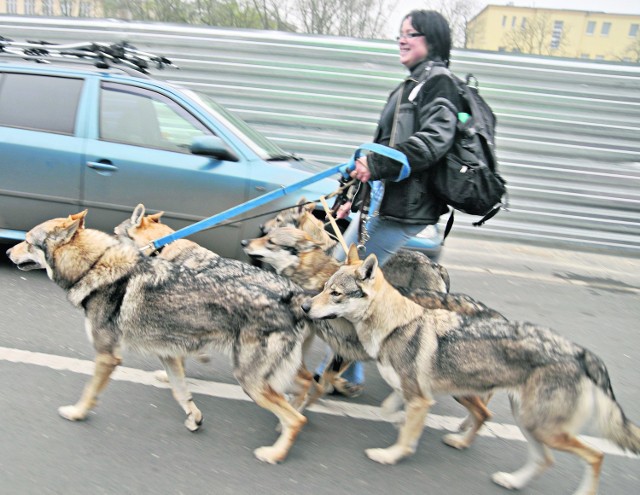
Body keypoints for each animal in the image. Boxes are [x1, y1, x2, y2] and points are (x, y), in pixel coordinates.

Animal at [8, 212, 320, 464]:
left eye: (27, 241)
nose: (9, 250)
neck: (94, 266)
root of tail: (293, 297)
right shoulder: (168, 354)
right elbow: (180, 392)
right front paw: (194, 418)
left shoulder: (108, 356)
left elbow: (89, 392)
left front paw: (77, 413)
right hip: (272, 375)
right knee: (307, 386)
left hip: (252, 381)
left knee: (298, 419)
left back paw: (275, 453)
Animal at [302, 246, 640, 494]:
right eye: (324, 288)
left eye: (335, 294)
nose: (305, 307)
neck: (394, 324)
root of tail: (580, 352)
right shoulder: (413, 393)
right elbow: (392, 409)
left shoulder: (420, 397)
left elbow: (403, 433)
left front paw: (391, 454)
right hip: (526, 420)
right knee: (540, 455)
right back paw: (503, 473)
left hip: (540, 426)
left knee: (595, 455)